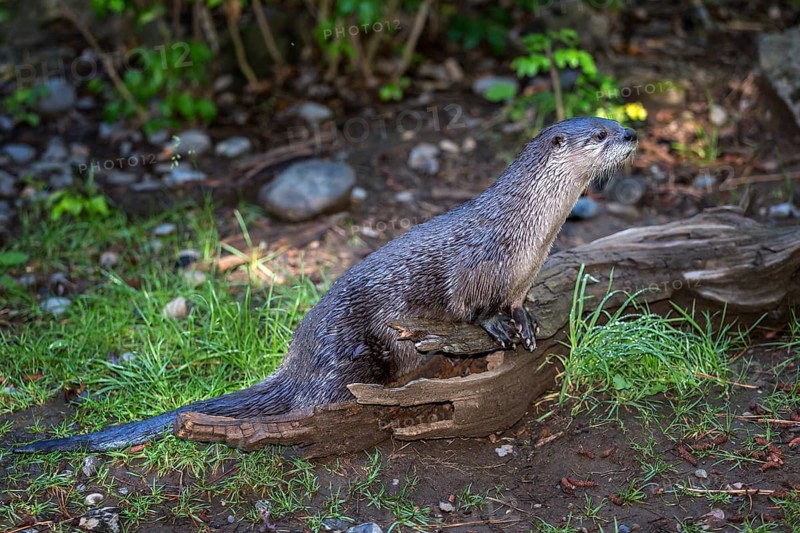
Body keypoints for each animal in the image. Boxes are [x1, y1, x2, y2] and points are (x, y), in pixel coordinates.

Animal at [15, 117, 637, 453]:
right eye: (599, 134)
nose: (632, 132)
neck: (525, 231)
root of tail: (298, 358)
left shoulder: (521, 275)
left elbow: (516, 302)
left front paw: (525, 322)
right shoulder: (475, 262)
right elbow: (467, 304)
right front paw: (493, 327)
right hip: (348, 354)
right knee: (315, 403)